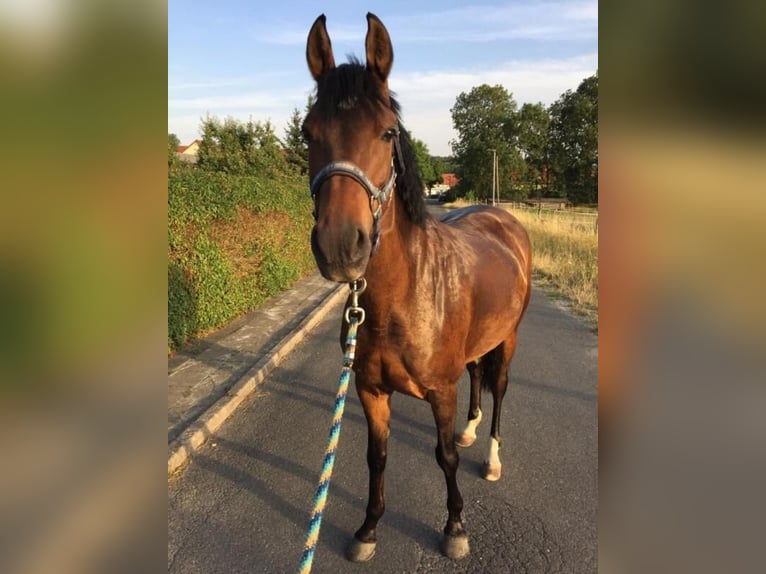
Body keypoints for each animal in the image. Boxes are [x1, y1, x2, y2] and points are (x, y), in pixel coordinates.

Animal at [304, 12, 532, 564]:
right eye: (306, 133)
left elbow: (444, 456)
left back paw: (491, 454)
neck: (399, 300)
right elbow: (377, 456)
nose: (340, 245)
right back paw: (472, 430)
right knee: (477, 376)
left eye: (388, 133)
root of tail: (504, 220)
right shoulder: (369, 390)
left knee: (498, 390)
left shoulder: (439, 392)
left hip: (508, 339)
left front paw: (455, 527)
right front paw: (368, 529)